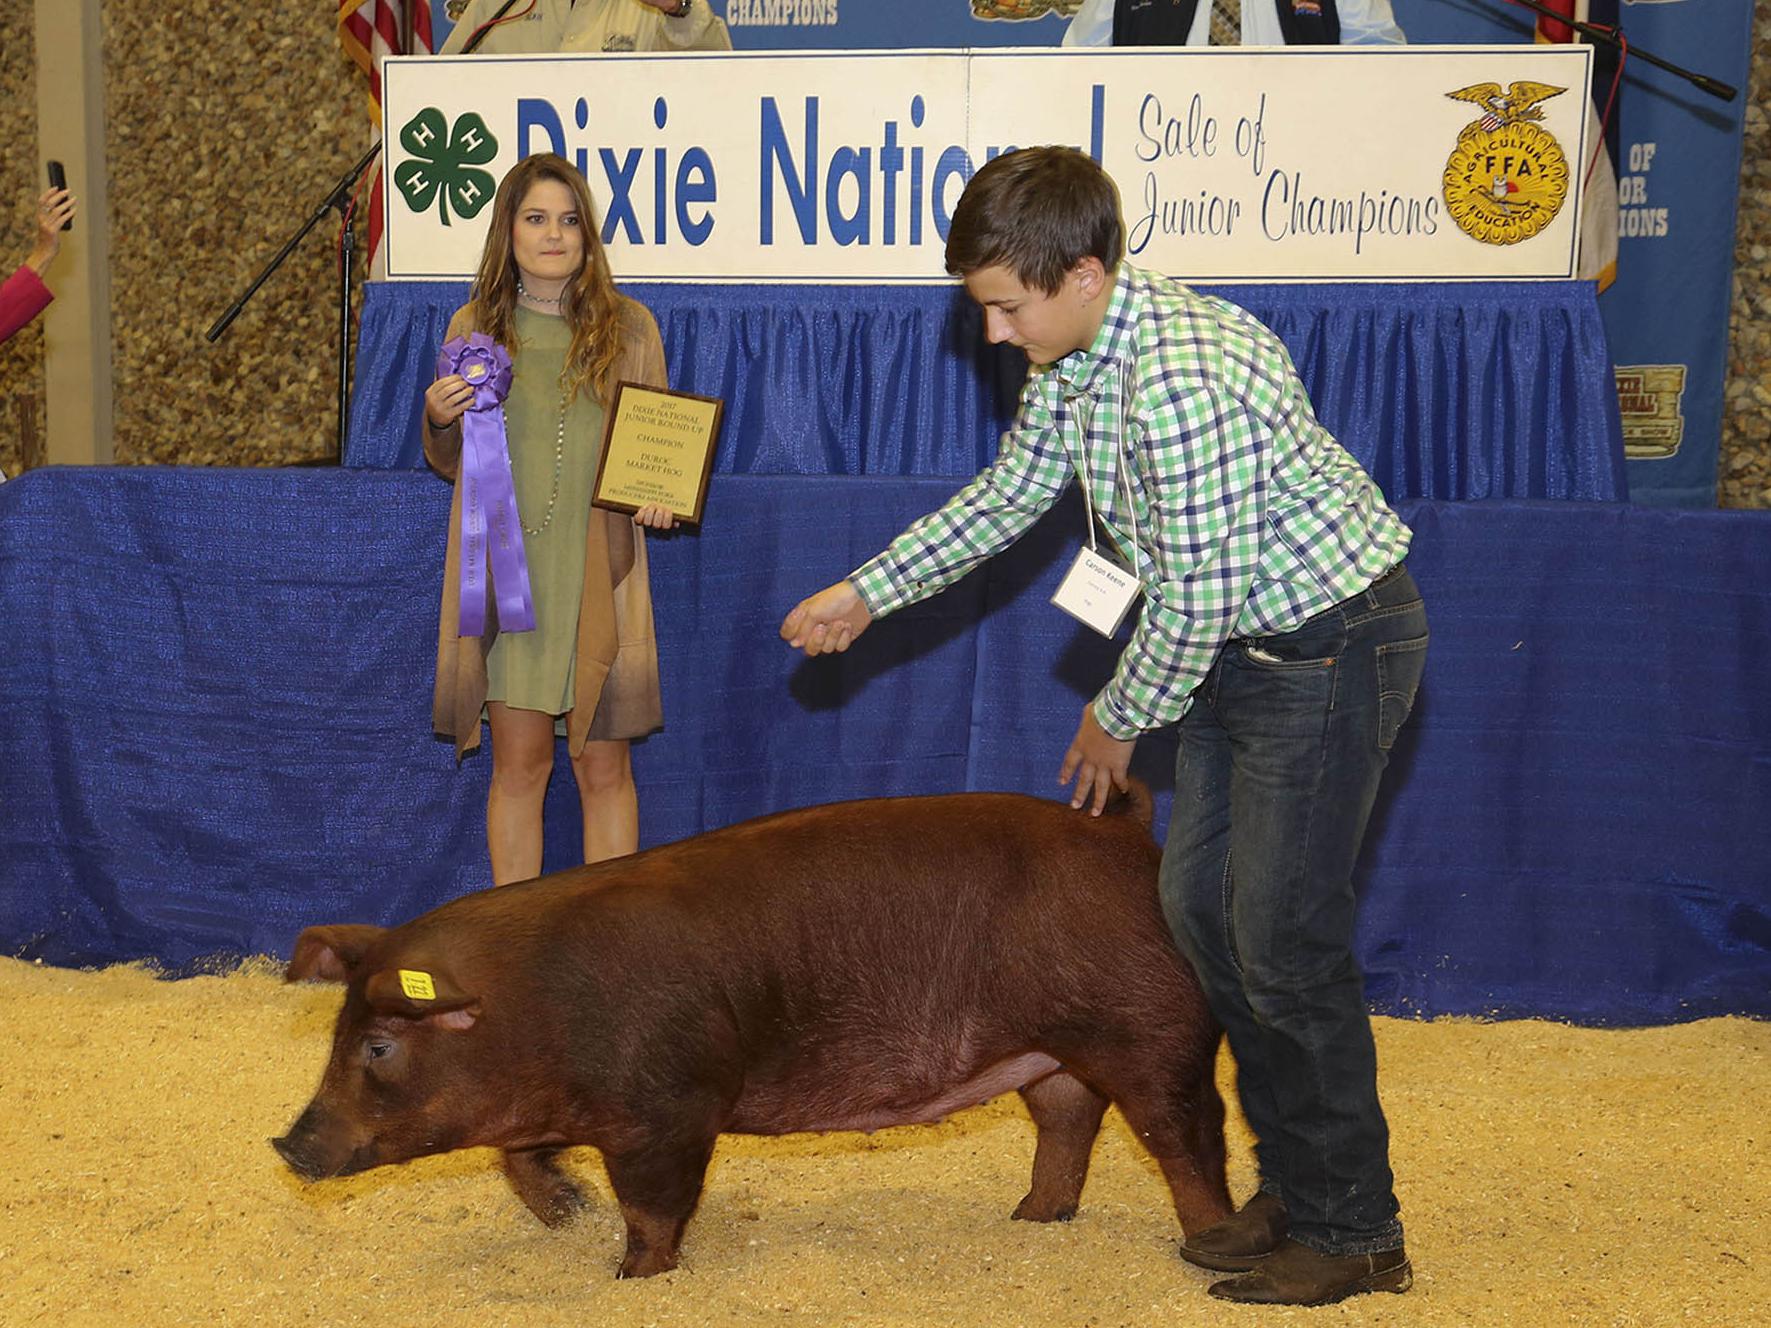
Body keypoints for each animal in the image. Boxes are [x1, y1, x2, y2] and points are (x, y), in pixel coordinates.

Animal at [276, 789, 1232, 1281]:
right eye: (337, 1034)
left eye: (379, 1047)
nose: (285, 1145)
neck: (529, 1009)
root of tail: (1128, 835)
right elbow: (516, 1160)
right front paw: (566, 1212)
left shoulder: (670, 1109)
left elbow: (653, 1205)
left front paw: (634, 1277)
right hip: (1050, 1051)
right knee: (1069, 1118)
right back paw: (1031, 1219)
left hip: (1149, 1029)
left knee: (1186, 1134)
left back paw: (1209, 1249)